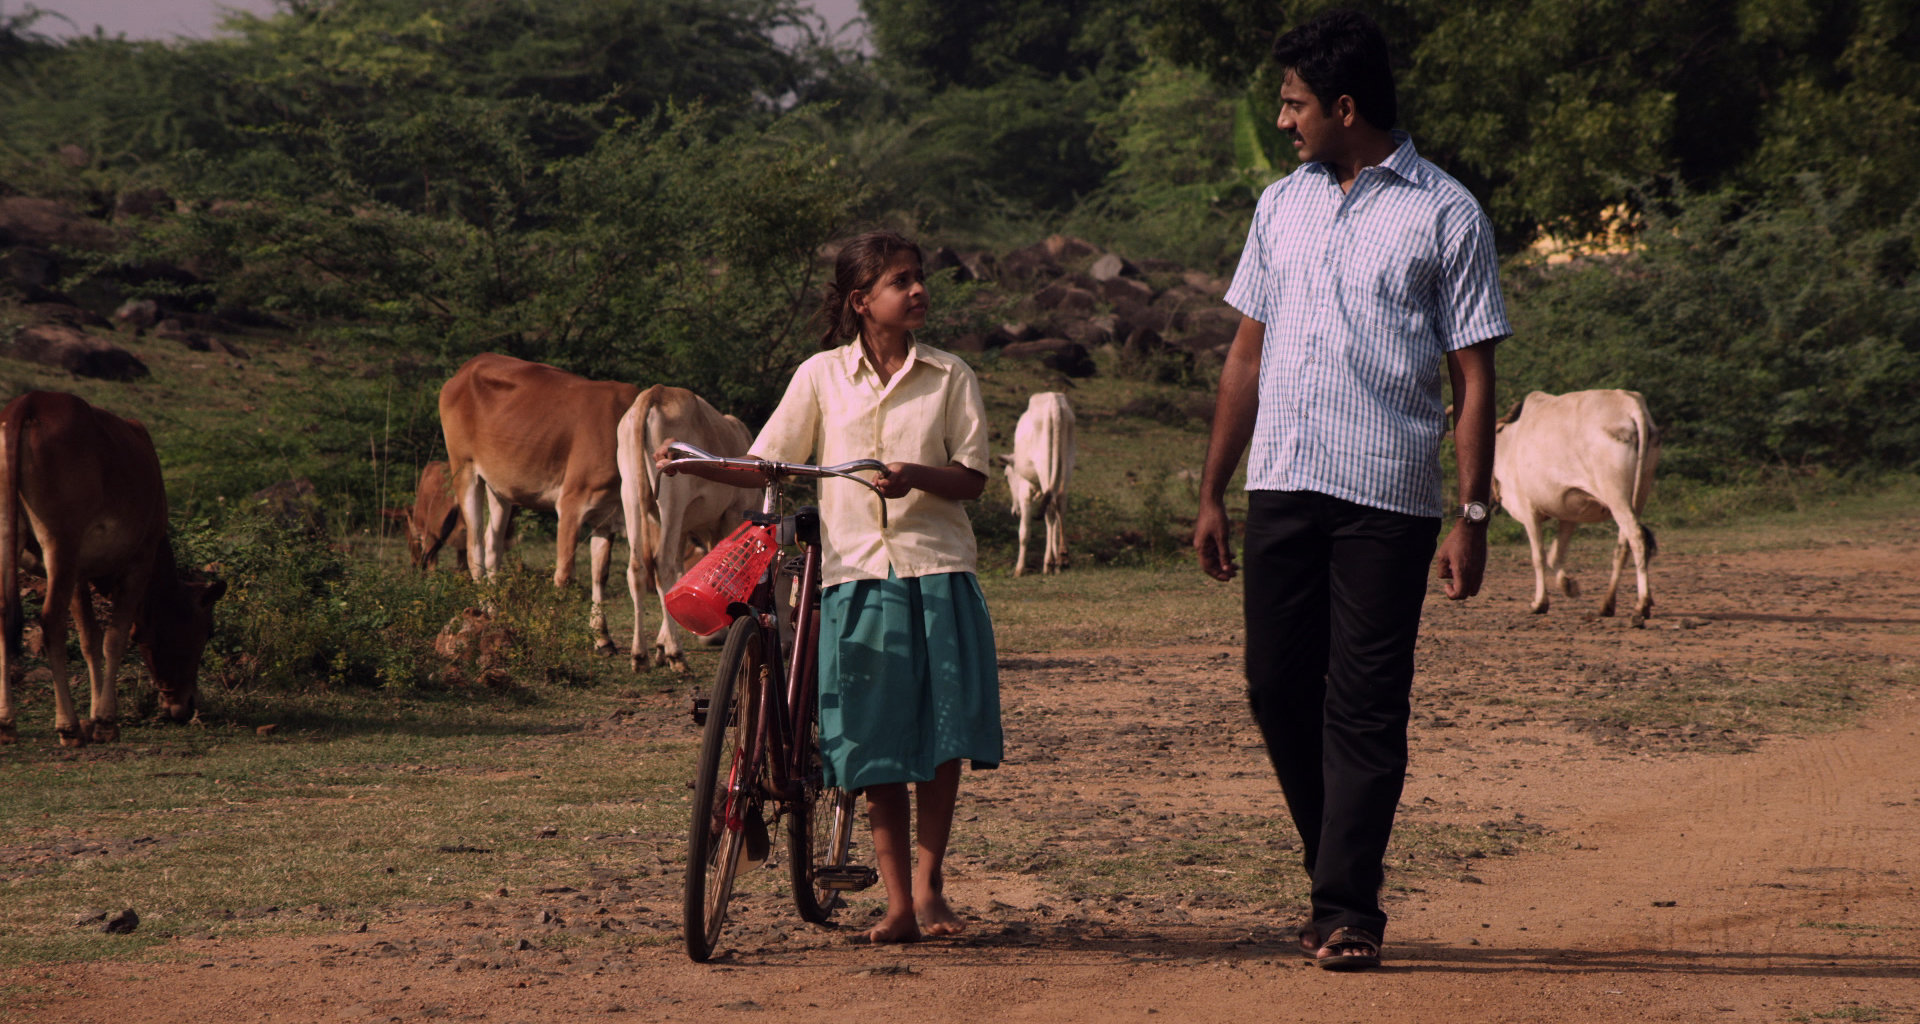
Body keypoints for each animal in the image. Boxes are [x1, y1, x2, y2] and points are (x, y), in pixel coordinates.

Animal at [0, 390, 226, 741]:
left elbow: (90, 639)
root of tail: (29, 402)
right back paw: (67, 726)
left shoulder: (79, 573)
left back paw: (7, 723)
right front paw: (105, 720)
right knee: (50, 621)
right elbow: (115, 637)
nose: (187, 705)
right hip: (61, 542)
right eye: (208, 630)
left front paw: (96, 716)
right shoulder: (139, 561)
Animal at [439, 355, 641, 649]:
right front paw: (552, 633)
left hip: (500, 484)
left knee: (493, 544)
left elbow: (600, 573)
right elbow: (565, 573)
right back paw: (486, 610)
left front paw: (602, 637)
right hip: (464, 469)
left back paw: (495, 611)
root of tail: (469, 366)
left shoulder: (607, 514)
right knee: (474, 546)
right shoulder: (572, 504)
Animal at [618, 384, 760, 672]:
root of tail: (656, 393)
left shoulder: (684, 528)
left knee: (638, 567)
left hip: (630, 495)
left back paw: (641, 654)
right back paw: (676, 653)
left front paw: (661, 646)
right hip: (672, 498)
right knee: (661, 565)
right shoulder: (733, 512)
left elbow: (681, 572)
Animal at [1006, 390, 1082, 576]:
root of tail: (1054, 401)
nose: (1014, 512)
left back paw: (1050, 562)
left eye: (1007, 476)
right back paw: (1062, 558)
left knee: (1050, 510)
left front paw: (1019, 569)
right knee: (1059, 503)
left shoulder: (1025, 492)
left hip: (1044, 464)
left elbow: (1024, 532)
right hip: (1067, 464)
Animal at [1489, 388, 1658, 618]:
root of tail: (1629, 404)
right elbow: (1555, 555)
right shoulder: (1569, 514)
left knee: (1637, 538)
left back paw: (1642, 605)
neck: (1508, 443)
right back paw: (1607, 604)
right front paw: (1569, 586)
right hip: (1638, 497)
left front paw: (1539, 603)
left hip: (1617, 497)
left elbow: (1538, 557)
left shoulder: (1529, 510)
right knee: (1622, 547)